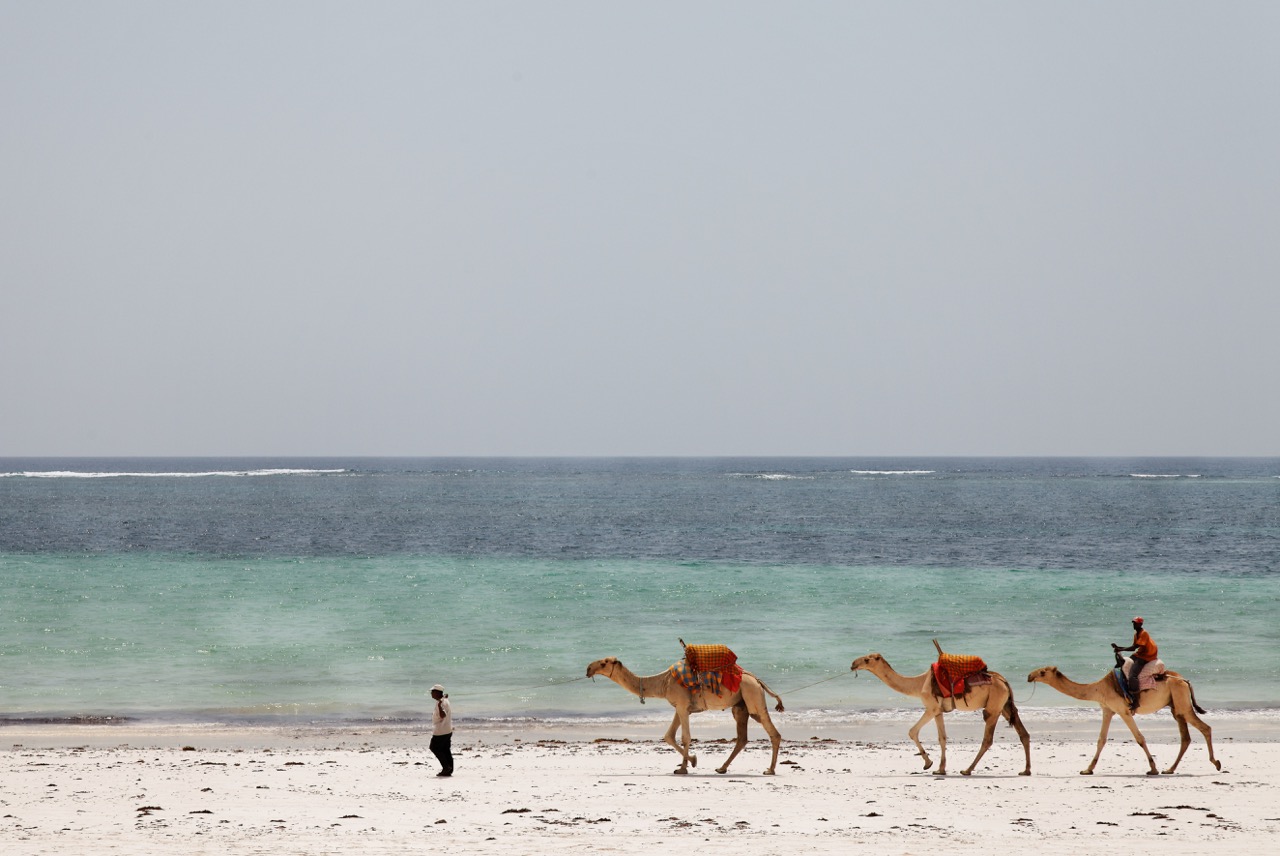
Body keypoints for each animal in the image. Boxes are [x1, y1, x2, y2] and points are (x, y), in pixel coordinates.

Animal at [585, 656, 784, 775]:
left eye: (603, 663)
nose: (588, 668)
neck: (663, 682)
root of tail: (757, 680)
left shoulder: (682, 705)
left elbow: (685, 737)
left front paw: (686, 766)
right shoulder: (680, 707)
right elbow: (669, 736)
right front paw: (687, 763)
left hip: (752, 696)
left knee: (772, 732)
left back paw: (770, 770)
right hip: (740, 705)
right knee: (742, 738)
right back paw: (721, 768)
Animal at [851, 652, 1032, 776]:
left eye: (867, 659)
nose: (853, 663)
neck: (919, 684)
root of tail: (1004, 681)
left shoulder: (931, 708)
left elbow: (912, 731)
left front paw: (928, 763)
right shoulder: (938, 711)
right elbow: (942, 738)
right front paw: (940, 769)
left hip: (993, 708)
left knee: (987, 739)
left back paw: (967, 770)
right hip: (1005, 706)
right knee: (1023, 733)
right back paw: (1026, 770)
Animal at [1027, 664, 1221, 775]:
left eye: (1042, 672)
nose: (1029, 676)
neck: (1098, 688)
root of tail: (1185, 680)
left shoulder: (1123, 711)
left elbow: (1140, 738)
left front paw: (1153, 769)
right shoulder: (1107, 710)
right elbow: (1101, 740)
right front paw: (1087, 769)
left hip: (1182, 704)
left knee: (1205, 728)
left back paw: (1216, 763)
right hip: (1176, 707)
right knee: (1185, 738)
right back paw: (1170, 769)